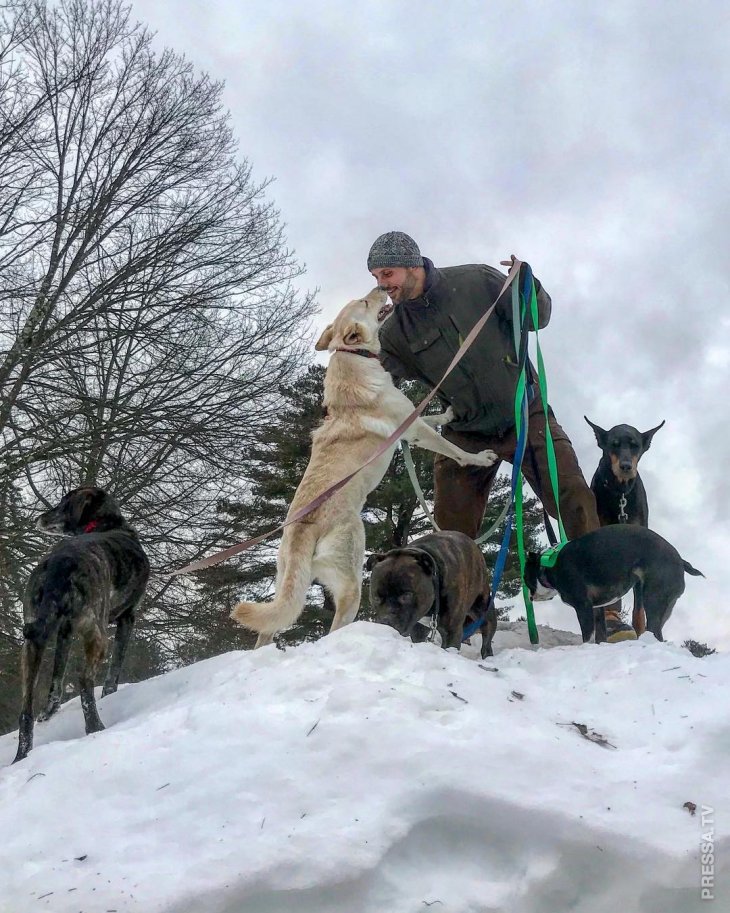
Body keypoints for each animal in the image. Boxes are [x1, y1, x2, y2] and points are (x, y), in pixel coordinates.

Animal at [13, 484, 149, 764]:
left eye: (63, 504)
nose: (39, 518)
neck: (106, 523)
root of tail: (59, 563)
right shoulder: (127, 617)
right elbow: (114, 670)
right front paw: (110, 695)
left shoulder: (64, 631)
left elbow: (56, 677)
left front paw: (50, 710)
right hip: (97, 632)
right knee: (85, 679)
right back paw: (96, 728)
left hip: (32, 642)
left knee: (26, 709)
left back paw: (22, 756)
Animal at [364, 528, 494, 656]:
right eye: (376, 598)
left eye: (406, 596)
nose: (386, 621)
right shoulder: (418, 628)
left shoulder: (452, 629)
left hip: (482, 608)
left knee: (488, 628)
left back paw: (487, 653)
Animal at [524, 524, 700, 644]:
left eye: (526, 579)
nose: (530, 597)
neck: (548, 566)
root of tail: (680, 560)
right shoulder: (596, 609)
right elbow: (600, 633)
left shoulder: (583, 607)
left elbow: (587, 636)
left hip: (653, 600)